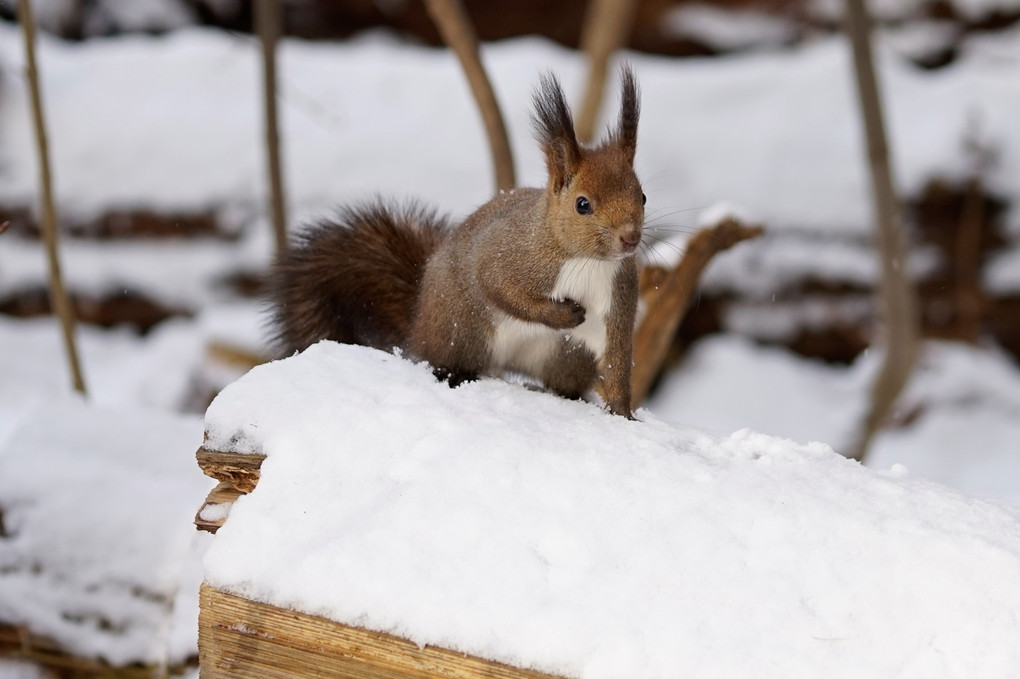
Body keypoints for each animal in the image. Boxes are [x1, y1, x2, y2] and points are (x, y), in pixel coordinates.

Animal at [267, 66, 640, 415]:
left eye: (643, 197)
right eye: (582, 204)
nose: (631, 238)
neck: (586, 261)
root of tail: (417, 329)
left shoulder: (618, 301)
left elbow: (617, 363)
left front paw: (623, 415)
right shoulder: (510, 254)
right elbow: (498, 287)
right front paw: (563, 315)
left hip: (565, 355)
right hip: (463, 331)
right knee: (444, 359)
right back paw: (453, 372)